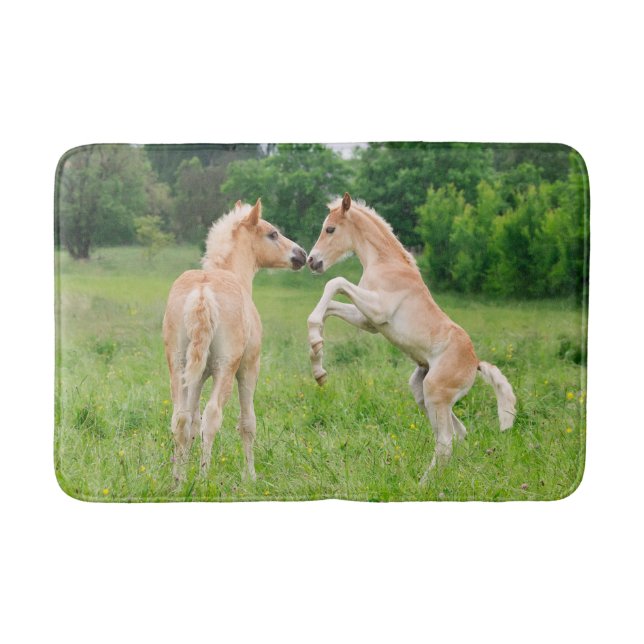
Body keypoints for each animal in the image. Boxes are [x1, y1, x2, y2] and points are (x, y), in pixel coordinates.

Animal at [163, 199, 307, 482]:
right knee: (212, 416)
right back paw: (203, 478)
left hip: (179, 366)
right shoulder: (249, 368)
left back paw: (178, 481)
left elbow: (191, 422)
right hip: (226, 368)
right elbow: (247, 422)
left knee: (181, 418)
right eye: (273, 234)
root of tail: (203, 292)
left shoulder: (198, 376)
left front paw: (184, 470)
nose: (301, 255)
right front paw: (251, 476)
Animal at [306, 193, 516, 484]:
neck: (385, 263)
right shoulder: (369, 321)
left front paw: (316, 348)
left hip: (435, 393)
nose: (312, 261)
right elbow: (330, 308)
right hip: (422, 391)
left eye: (330, 229)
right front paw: (318, 362)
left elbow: (335, 283)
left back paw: (423, 485)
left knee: (445, 442)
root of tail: (475, 364)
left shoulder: (378, 309)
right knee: (458, 433)